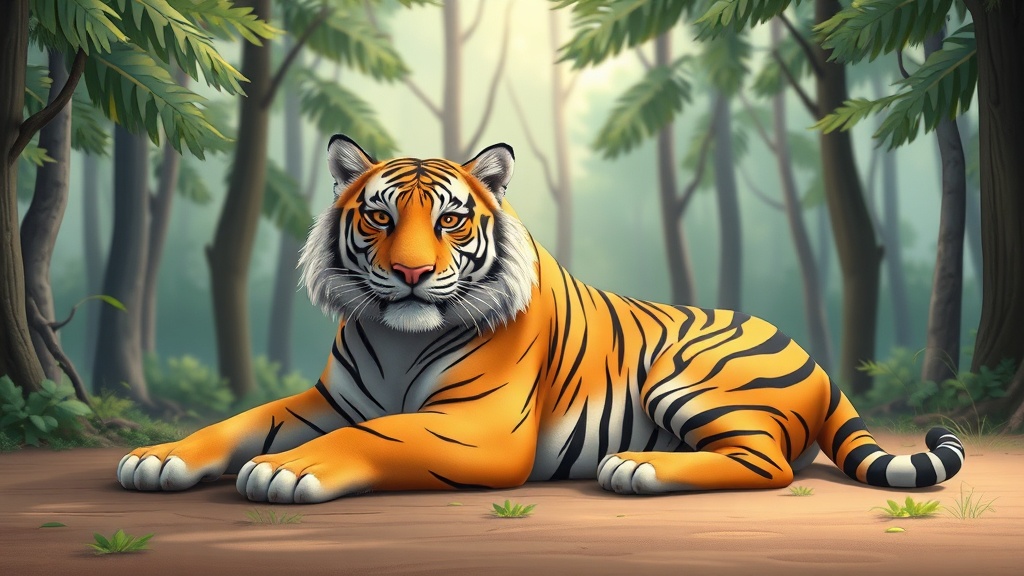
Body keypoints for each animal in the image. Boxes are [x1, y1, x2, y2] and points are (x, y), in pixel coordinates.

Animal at [117, 135, 965, 503]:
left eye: (451, 220)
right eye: (381, 217)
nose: (412, 274)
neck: (396, 337)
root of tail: (814, 357)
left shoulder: (478, 428)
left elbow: (378, 436)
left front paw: (288, 470)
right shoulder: (326, 401)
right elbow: (236, 423)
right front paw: (156, 458)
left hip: (686, 377)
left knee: (767, 464)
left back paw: (638, 468)